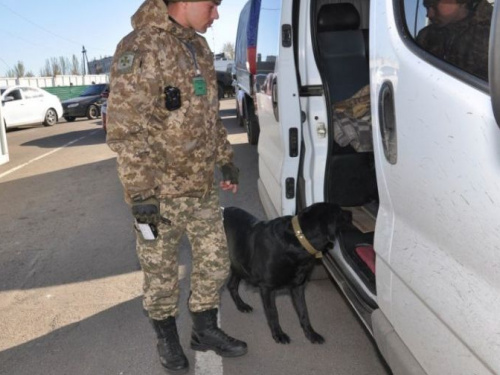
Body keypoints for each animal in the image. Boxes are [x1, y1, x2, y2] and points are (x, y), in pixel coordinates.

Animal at [224, 204, 352, 346]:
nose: (351, 213)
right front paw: (278, 334)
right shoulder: (267, 288)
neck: (298, 240)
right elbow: (273, 313)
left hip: (238, 264)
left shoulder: (297, 287)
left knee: (231, 285)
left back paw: (241, 305)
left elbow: (304, 312)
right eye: (340, 212)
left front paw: (311, 334)